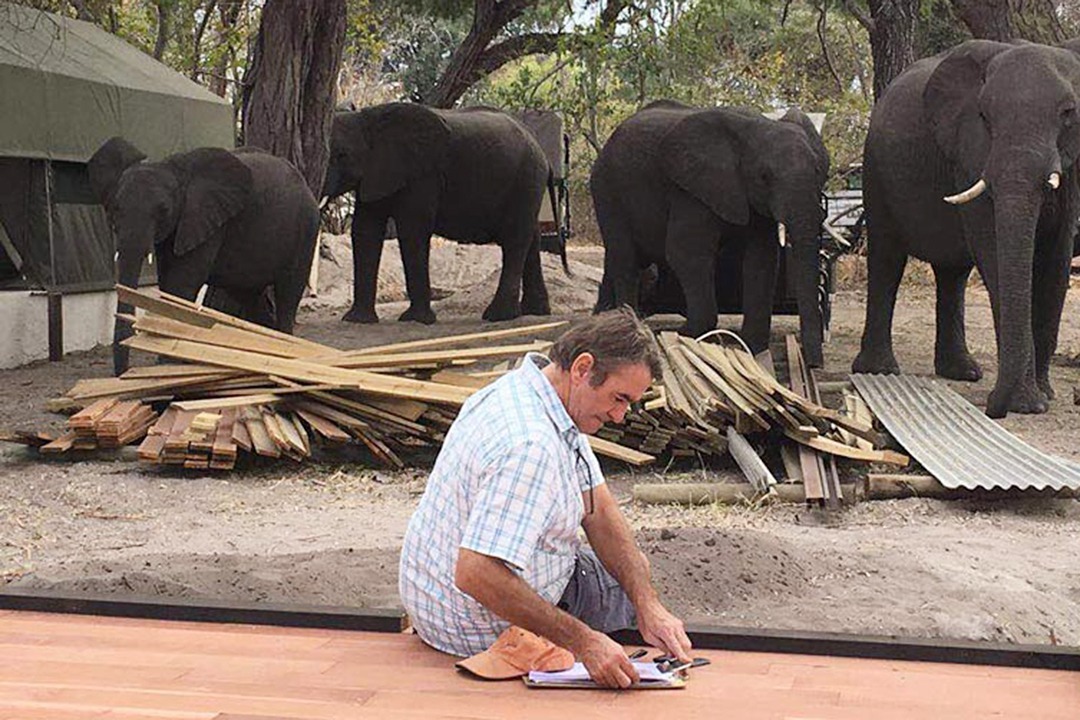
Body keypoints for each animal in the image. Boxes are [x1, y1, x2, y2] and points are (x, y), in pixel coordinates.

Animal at [89, 134, 321, 375]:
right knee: (250, 296)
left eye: (163, 211)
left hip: (306, 230)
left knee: (288, 292)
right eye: (114, 209)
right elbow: (167, 283)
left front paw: (167, 365)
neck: (173, 168)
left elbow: (182, 282)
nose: (123, 373)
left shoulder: (207, 219)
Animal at [319, 100, 557, 323]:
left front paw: (415, 320)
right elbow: (365, 231)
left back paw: (498, 316)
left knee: (514, 239)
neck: (367, 119)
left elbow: (412, 231)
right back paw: (535, 312)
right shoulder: (376, 174)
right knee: (531, 238)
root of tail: (543, 153)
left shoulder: (423, 174)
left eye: (342, 155)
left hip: (526, 179)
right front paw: (357, 320)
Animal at [591, 100, 825, 367]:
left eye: (819, 172)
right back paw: (628, 323)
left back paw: (600, 318)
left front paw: (749, 349)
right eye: (764, 177)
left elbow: (762, 260)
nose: (813, 364)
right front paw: (686, 335)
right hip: (607, 189)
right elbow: (685, 252)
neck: (757, 125)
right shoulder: (690, 190)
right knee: (625, 260)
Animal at [851, 39, 1080, 418]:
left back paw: (963, 373)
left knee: (952, 273)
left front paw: (1043, 397)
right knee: (887, 259)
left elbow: (1056, 260)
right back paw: (878, 370)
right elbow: (993, 249)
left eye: (1068, 113)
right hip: (874, 170)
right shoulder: (971, 154)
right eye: (984, 117)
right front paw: (1028, 404)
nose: (992, 409)